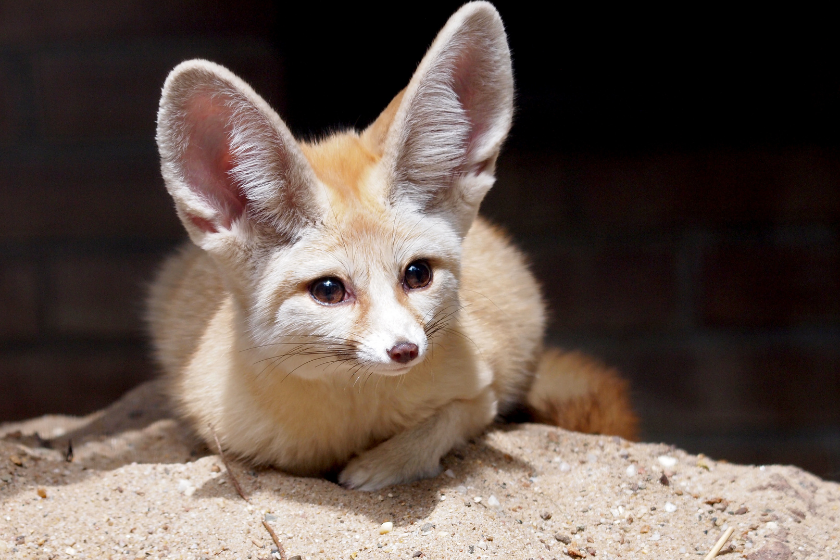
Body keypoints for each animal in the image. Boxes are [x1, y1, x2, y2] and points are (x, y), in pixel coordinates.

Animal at [151, 3, 636, 490]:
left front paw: (378, 466)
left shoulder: (483, 391)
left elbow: (442, 423)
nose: (406, 350)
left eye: (417, 274)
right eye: (328, 290)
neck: (355, 414)